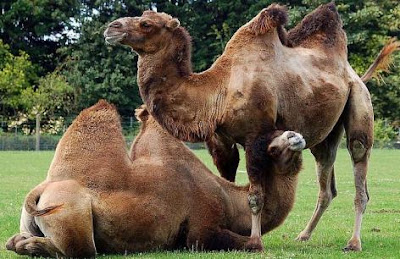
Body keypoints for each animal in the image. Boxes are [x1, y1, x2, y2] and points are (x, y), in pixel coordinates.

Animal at [5, 100, 306, 258]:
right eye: (272, 148)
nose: (296, 136)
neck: (230, 201)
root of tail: (40, 191)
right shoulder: (201, 229)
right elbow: (253, 243)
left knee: (16, 240)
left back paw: (21, 242)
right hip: (71, 212)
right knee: (81, 250)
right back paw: (30, 246)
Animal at [104, 2, 400, 252]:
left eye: (146, 24)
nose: (111, 28)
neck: (217, 91)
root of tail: (354, 74)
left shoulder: (255, 136)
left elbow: (255, 196)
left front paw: (255, 241)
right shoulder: (221, 141)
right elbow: (229, 183)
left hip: (360, 104)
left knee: (360, 166)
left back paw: (353, 242)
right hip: (325, 136)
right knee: (326, 182)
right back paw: (303, 236)